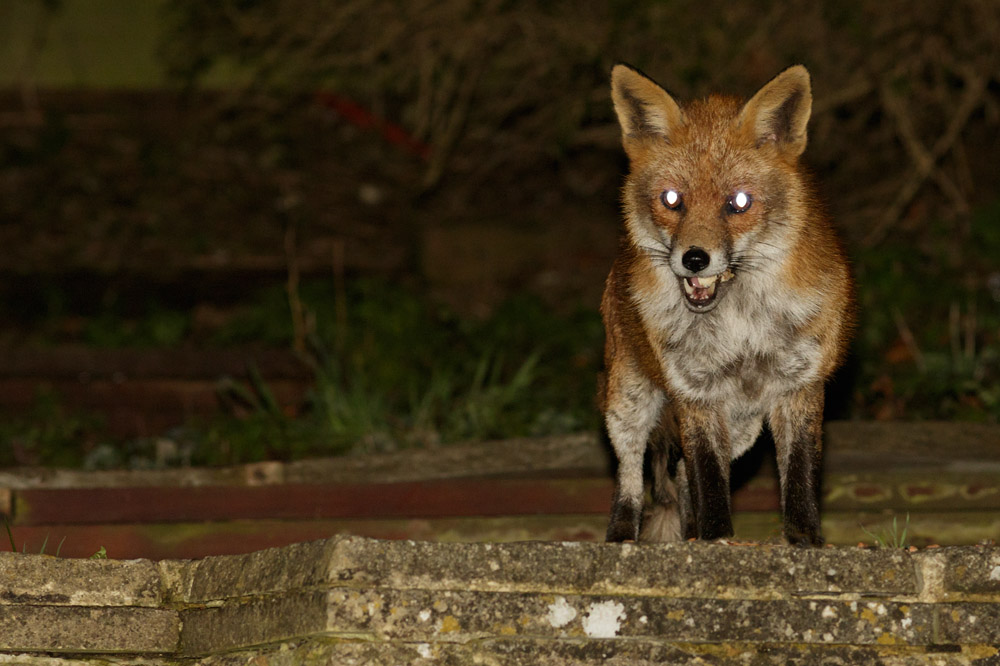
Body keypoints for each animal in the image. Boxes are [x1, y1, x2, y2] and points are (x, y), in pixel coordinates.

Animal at [600, 64, 854, 547]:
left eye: (738, 202)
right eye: (672, 199)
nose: (695, 258)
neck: (742, 328)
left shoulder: (800, 387)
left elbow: (799, 476)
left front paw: (803, 540)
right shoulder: (695, 395)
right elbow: (710, 480)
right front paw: (716, 540)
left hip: (742, 427)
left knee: (681, 474)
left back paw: (688, 530)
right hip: (629, 398)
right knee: (631, 470)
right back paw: (623, 535)